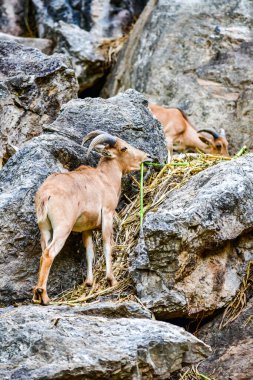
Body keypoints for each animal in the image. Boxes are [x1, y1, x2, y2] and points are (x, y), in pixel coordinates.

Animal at [33, 131, 152, 306]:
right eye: (124, 148)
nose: (147, 157)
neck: (105, 179)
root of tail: (45, 194)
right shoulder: (108, 214)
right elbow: (107, 244)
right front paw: (111, 280)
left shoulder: (86, 229)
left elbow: (89, 251)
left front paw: (89, 282)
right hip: (63, 228)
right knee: (49, 253)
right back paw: (45, 297)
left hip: (45, 229)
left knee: (43, 254)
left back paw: (37, 295)